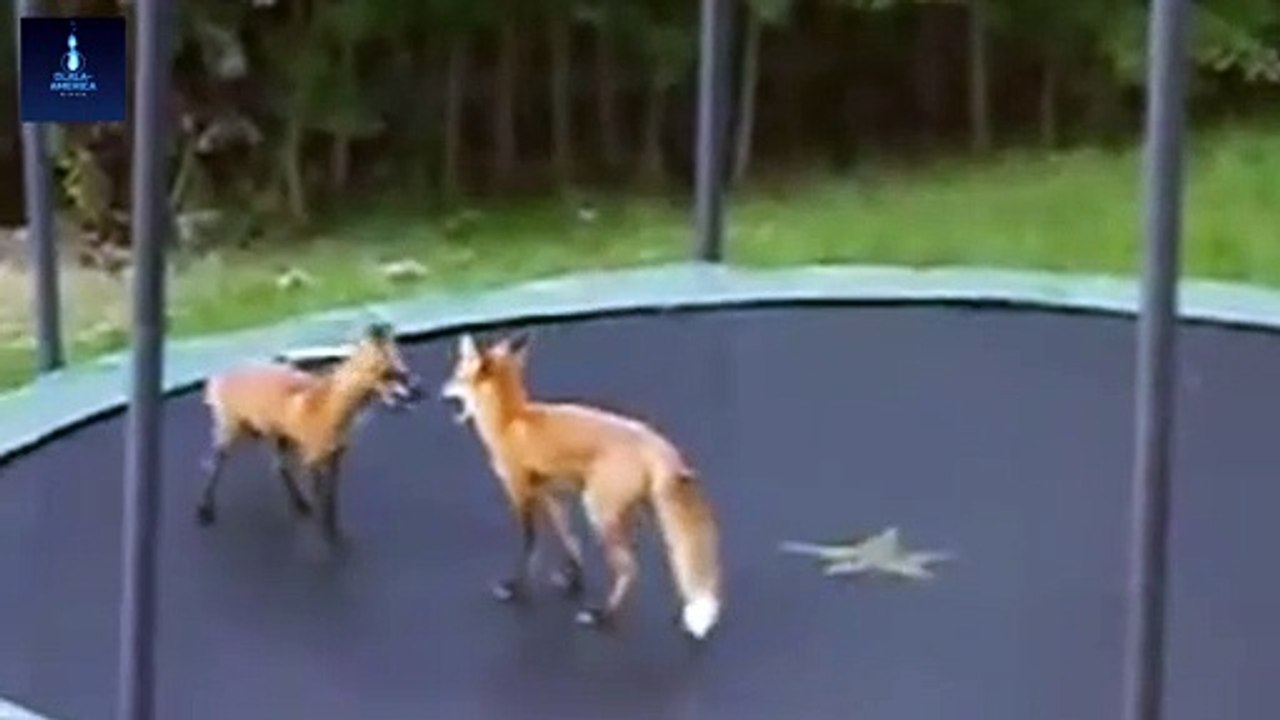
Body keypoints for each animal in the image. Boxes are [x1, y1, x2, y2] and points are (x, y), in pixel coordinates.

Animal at [196, 322, 422, 543]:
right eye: (390, 374)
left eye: (404, 371)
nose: (421, 392)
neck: (331, 409)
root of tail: (219, 377)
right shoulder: (313, 460)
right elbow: (321, 500)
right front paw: (325, 535)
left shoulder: (334, 458)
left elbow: (330, 501)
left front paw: (333, 530)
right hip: (234, 433)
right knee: (213, 465)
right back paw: (205, 509)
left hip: (278, 436)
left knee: (279, 467)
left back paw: (300, 503)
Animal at [440, 331, 723, 640]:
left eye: (457, 377)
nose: (442, 390)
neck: (512, 421)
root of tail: (656, 442)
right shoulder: (550, 494)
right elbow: (569, 538)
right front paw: (573, 578)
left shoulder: (520, 491)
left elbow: (530, 546)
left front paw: (515, 586)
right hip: (632, 513)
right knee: (631, 560)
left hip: (597, 510)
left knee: (629, 568)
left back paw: (601, 615)